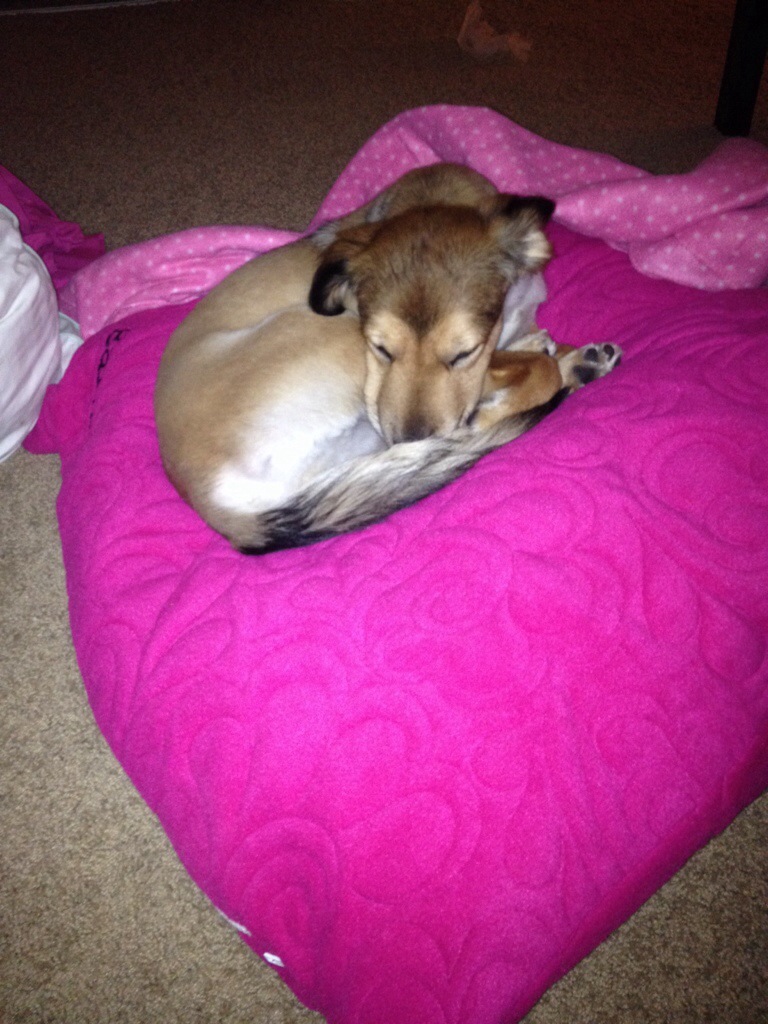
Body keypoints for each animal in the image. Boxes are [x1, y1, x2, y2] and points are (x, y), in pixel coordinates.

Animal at [154, 164, 621, 553]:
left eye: (462, 352)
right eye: (381, 348)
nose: (408, 439)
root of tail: (211, 498)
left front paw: (570, 356)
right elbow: (533, 370)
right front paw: (534, 369)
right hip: (336, 336)